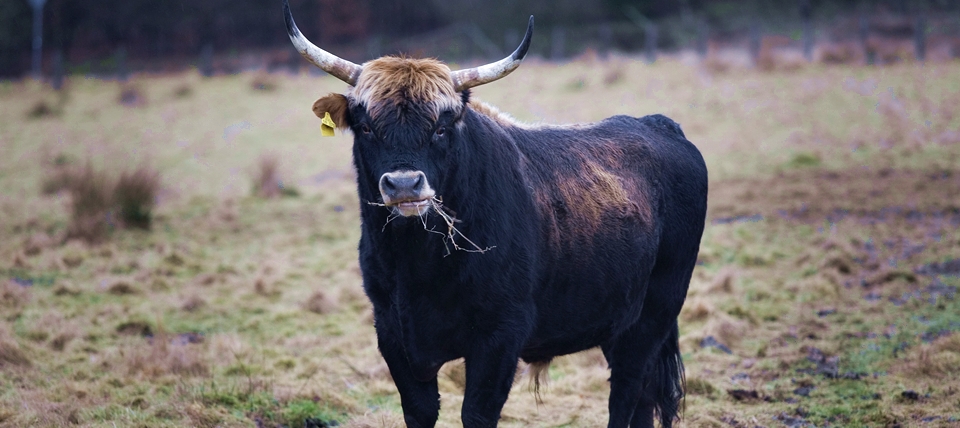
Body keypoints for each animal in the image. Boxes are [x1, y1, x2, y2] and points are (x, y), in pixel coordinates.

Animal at [282, 1, 708, 426]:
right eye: (367, 127)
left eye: (441, 128)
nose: (404, 185)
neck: (417, 266)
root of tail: (659, 125)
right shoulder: (391, 332)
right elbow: (420, 410)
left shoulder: (500, 336)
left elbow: (477, 412)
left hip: (655, 313)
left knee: (626, 390)